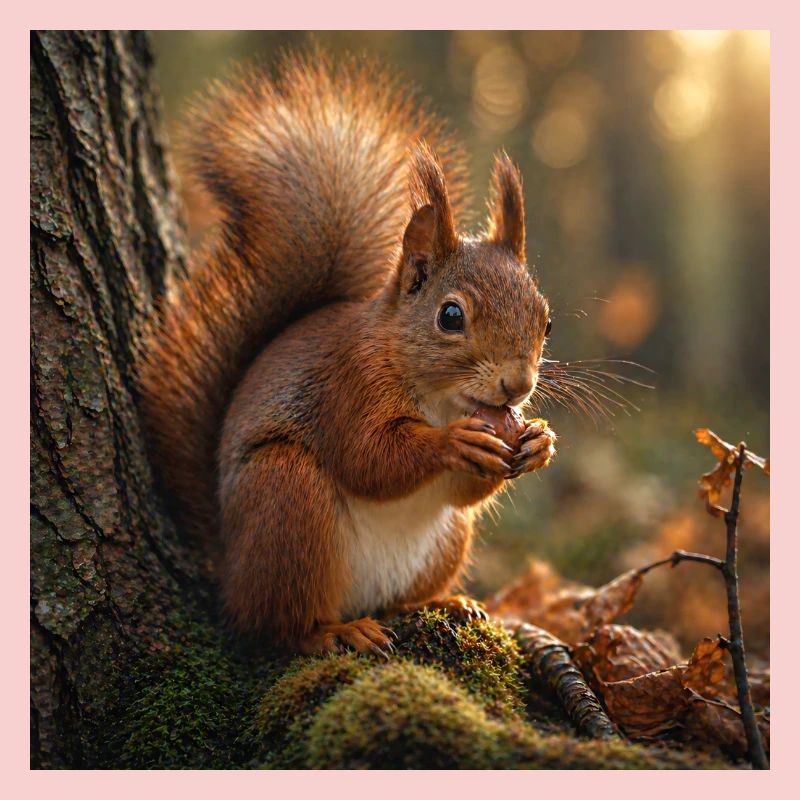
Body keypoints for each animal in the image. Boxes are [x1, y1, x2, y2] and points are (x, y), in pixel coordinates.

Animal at [137, 52, 557, 656]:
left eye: (546, 319)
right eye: (451, 317)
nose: (518, 386)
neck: (442, 398)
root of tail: (230, 566)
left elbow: (463, 493)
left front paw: (540, 441)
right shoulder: (348, 383)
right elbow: (368, 459)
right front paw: (452, 443)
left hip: (443, 543)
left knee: (400, 592)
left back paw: (445, 604)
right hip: (287, 497)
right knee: (276, 624)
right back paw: (335, 632)